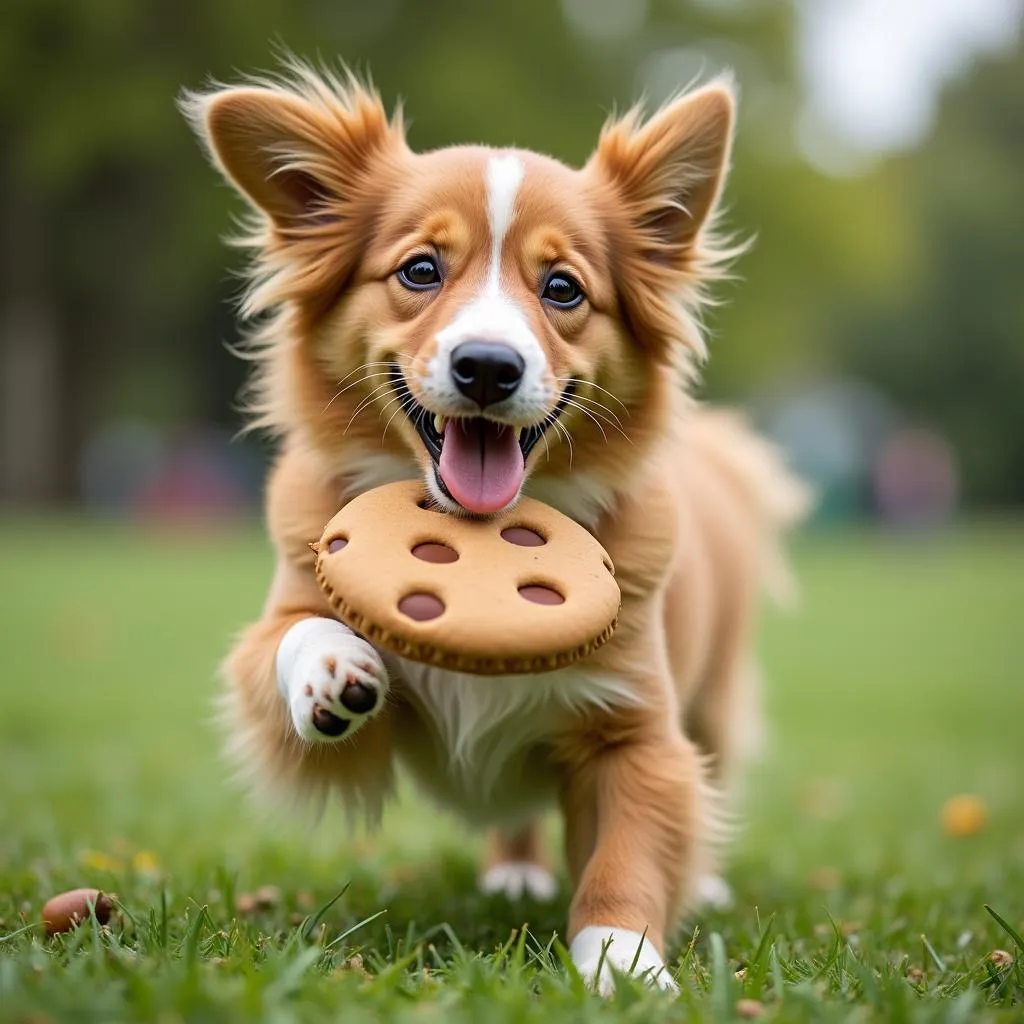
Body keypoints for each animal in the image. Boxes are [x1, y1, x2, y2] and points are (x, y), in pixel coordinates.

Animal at [182, 61, 806, 991]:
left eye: (563, 288)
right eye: (420, 270)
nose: (486, 366)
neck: (481, 534)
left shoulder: (637, 730)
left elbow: (631, 851)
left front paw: (621, 963)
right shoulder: (289, 659)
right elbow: (285, 644)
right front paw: (334, 666)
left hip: (716, 696)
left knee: (713, 775)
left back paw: (703, 883)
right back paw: (514, 870)